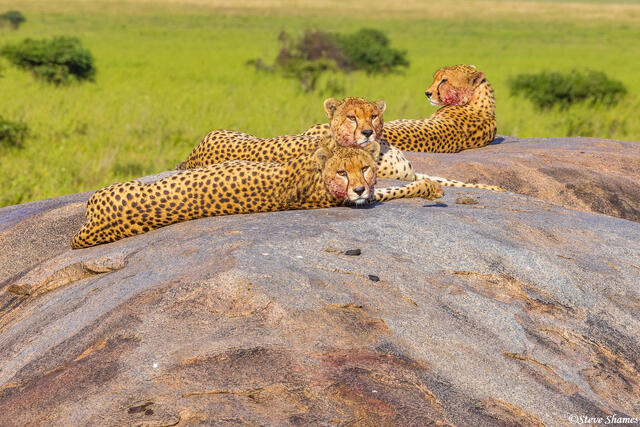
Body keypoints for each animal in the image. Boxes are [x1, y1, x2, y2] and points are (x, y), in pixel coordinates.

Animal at [181, 96, 502, 191]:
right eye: (351, 117)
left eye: (373, 115)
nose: (368, 132)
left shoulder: (412, 172)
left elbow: (451, 179)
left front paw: (494, 188)